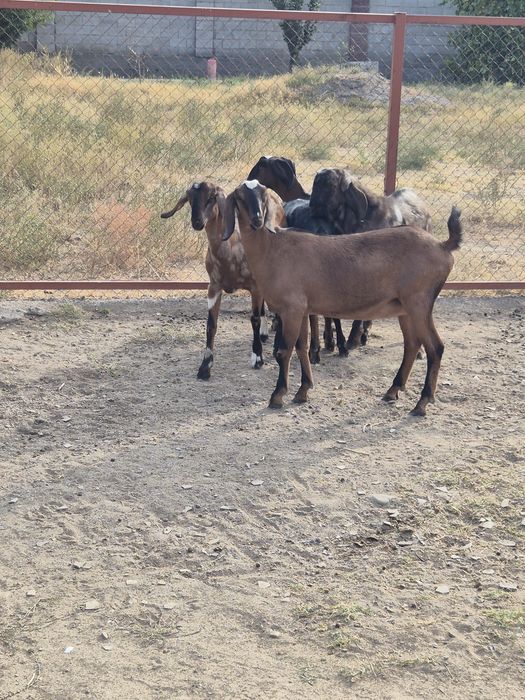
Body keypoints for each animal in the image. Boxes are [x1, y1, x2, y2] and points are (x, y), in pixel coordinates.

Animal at [161, 181, 267, 380]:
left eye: (211, 198)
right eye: (189, 199)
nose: (197, 222)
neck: (230, 253)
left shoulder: (255, 287)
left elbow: (254, 319)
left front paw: (257, 358)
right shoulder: (214, 287)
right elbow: (211, 325)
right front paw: (204, 367)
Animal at [223, 180, 462, 417]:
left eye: (263, 195)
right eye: (240, 197)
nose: (257, 219)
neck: (272, 248)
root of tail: (442, 245)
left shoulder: (292, 309)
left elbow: (284, 352)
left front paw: (277, 396)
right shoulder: (301, 310)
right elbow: (301, 348)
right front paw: (303, 391)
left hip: (419, 303)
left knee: (435, 347)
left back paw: (422, 403)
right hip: (405, 309)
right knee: (412, 345)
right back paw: (393, 390)